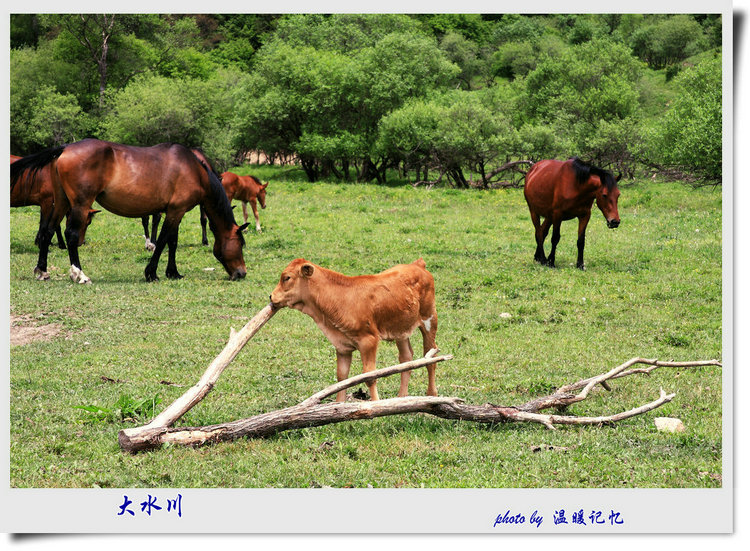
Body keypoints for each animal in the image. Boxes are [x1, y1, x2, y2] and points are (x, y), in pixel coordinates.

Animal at [9, 138, 250, 284]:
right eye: (240, 244)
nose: (242, 273)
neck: (193, 170)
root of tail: (65, 148)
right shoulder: (175, 211)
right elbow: (163, 241)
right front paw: (151, 273)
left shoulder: (175, 211)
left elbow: (172, 242)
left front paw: (173, 272)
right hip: (79, 204)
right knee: (71, 235)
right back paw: (79, 274)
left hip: (60, 202)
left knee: (48, 231)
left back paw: (42, 271)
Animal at [270, 258, 438, 402]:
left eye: (287, 277)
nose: (271, 296)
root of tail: (417, 265)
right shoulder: (342, 345)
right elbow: (341, 377)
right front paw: (339, 405)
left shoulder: (369, 340)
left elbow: (369, 375)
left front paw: (376, 405)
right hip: (400, 328)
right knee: (406, 358)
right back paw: (401, 397)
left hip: (429, 318)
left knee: (430, 357)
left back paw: (431, 395)